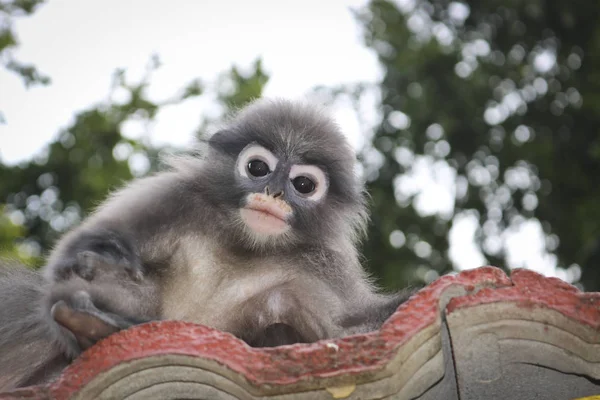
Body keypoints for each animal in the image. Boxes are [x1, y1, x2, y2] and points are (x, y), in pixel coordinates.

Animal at [0, 99, 412, 390]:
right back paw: (87, 319)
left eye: (304, 185)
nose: (274, 192)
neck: (245, 243)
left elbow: (348, 327)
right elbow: (95, 241)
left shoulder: (325, 262)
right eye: (258, 168)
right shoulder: (177, 195)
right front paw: (89, 265)